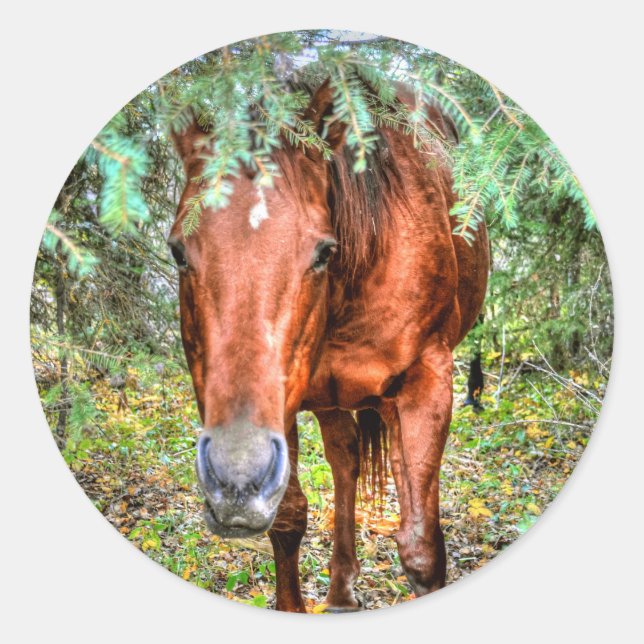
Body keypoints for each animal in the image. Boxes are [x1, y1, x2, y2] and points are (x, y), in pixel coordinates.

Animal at [168, 78, 489, 612]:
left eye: (322, 252)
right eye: (177, 251)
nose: (235, 480)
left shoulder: (427, 384)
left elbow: (422, 547)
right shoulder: (285, 404)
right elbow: (289, 517)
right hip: (329, 399)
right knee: (346, 460)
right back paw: (340, 592)